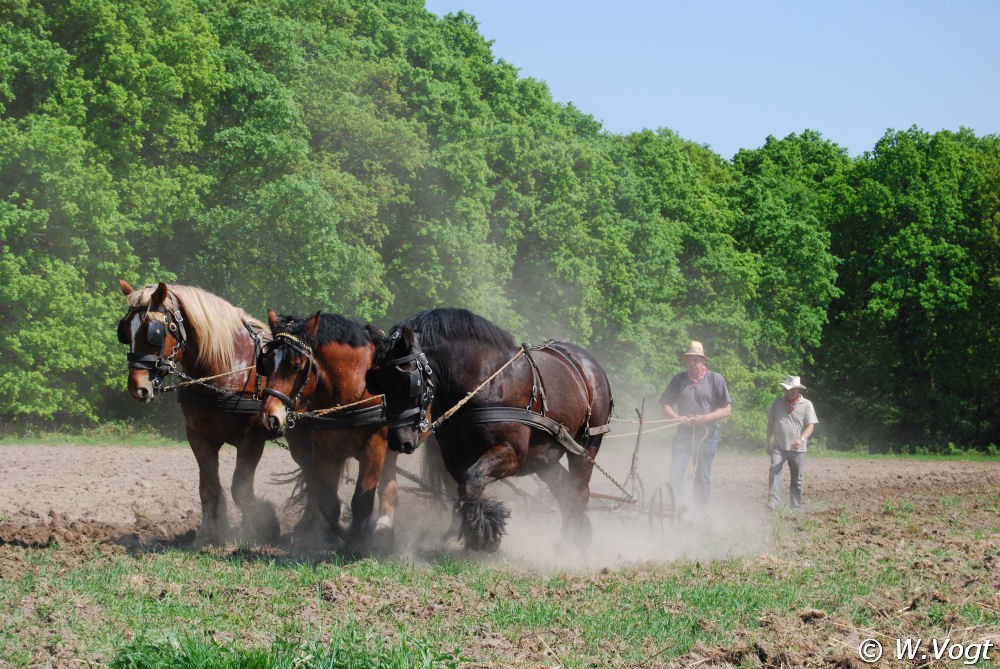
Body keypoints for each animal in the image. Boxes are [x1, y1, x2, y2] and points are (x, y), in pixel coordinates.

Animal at [115, 280, 308, 544]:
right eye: (125, 330)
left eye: (154, 331)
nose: (138, 387)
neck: (227, 365)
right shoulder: (198, 435)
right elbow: (208, 487)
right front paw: (208, 535)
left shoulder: (252, 437)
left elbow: (240, 487)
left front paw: (262, 528)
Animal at [254, 308, 398, 548]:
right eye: (265, 362)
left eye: (296, 365)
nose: (269, 418)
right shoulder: (325, 449)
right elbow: (328, 502)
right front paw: (341, 532)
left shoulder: (374, 446)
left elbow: (361, 499)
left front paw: (356, 543)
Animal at [368, 306, 612, 552]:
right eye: (376, 381)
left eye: (409, 380)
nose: (399, 440)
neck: (483, 381)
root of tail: (588, 364)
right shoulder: (454, 456)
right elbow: (463, 486)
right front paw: (468, 531)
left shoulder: (512, 451)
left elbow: (471, 481)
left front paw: (483, 535)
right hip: (543, 458)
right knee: (564, 488)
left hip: (587, 444)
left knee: (578, 491)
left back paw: (572, 542)